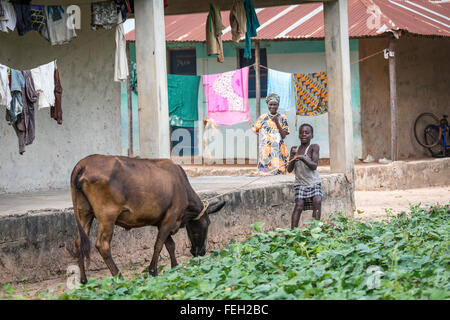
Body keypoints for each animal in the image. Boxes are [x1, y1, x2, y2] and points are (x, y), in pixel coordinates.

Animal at [71, 154, 225, 282]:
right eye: (208, 223)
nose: (201, 252)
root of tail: (83, 164)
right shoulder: (170, 217)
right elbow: (159, 244)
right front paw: (153, 271)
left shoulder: (161, 220)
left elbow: (170, 244)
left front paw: (175, 267)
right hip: (107, 216)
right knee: (102, 245)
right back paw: (119, 277)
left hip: (84, 212)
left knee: (79, 242)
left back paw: (83, 281)